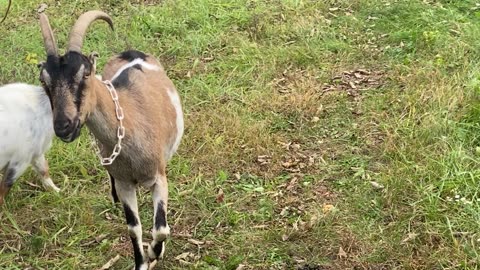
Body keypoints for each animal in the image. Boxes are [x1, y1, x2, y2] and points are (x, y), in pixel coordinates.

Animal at [37, 11, 183, 270]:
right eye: (44, 80)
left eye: (85, 73)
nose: (64, 126)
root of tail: (130, 52)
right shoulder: (125, 183)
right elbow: (134, 228)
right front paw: (141, 262)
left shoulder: (159, 178)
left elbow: (161, 229)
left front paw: (154, 252)